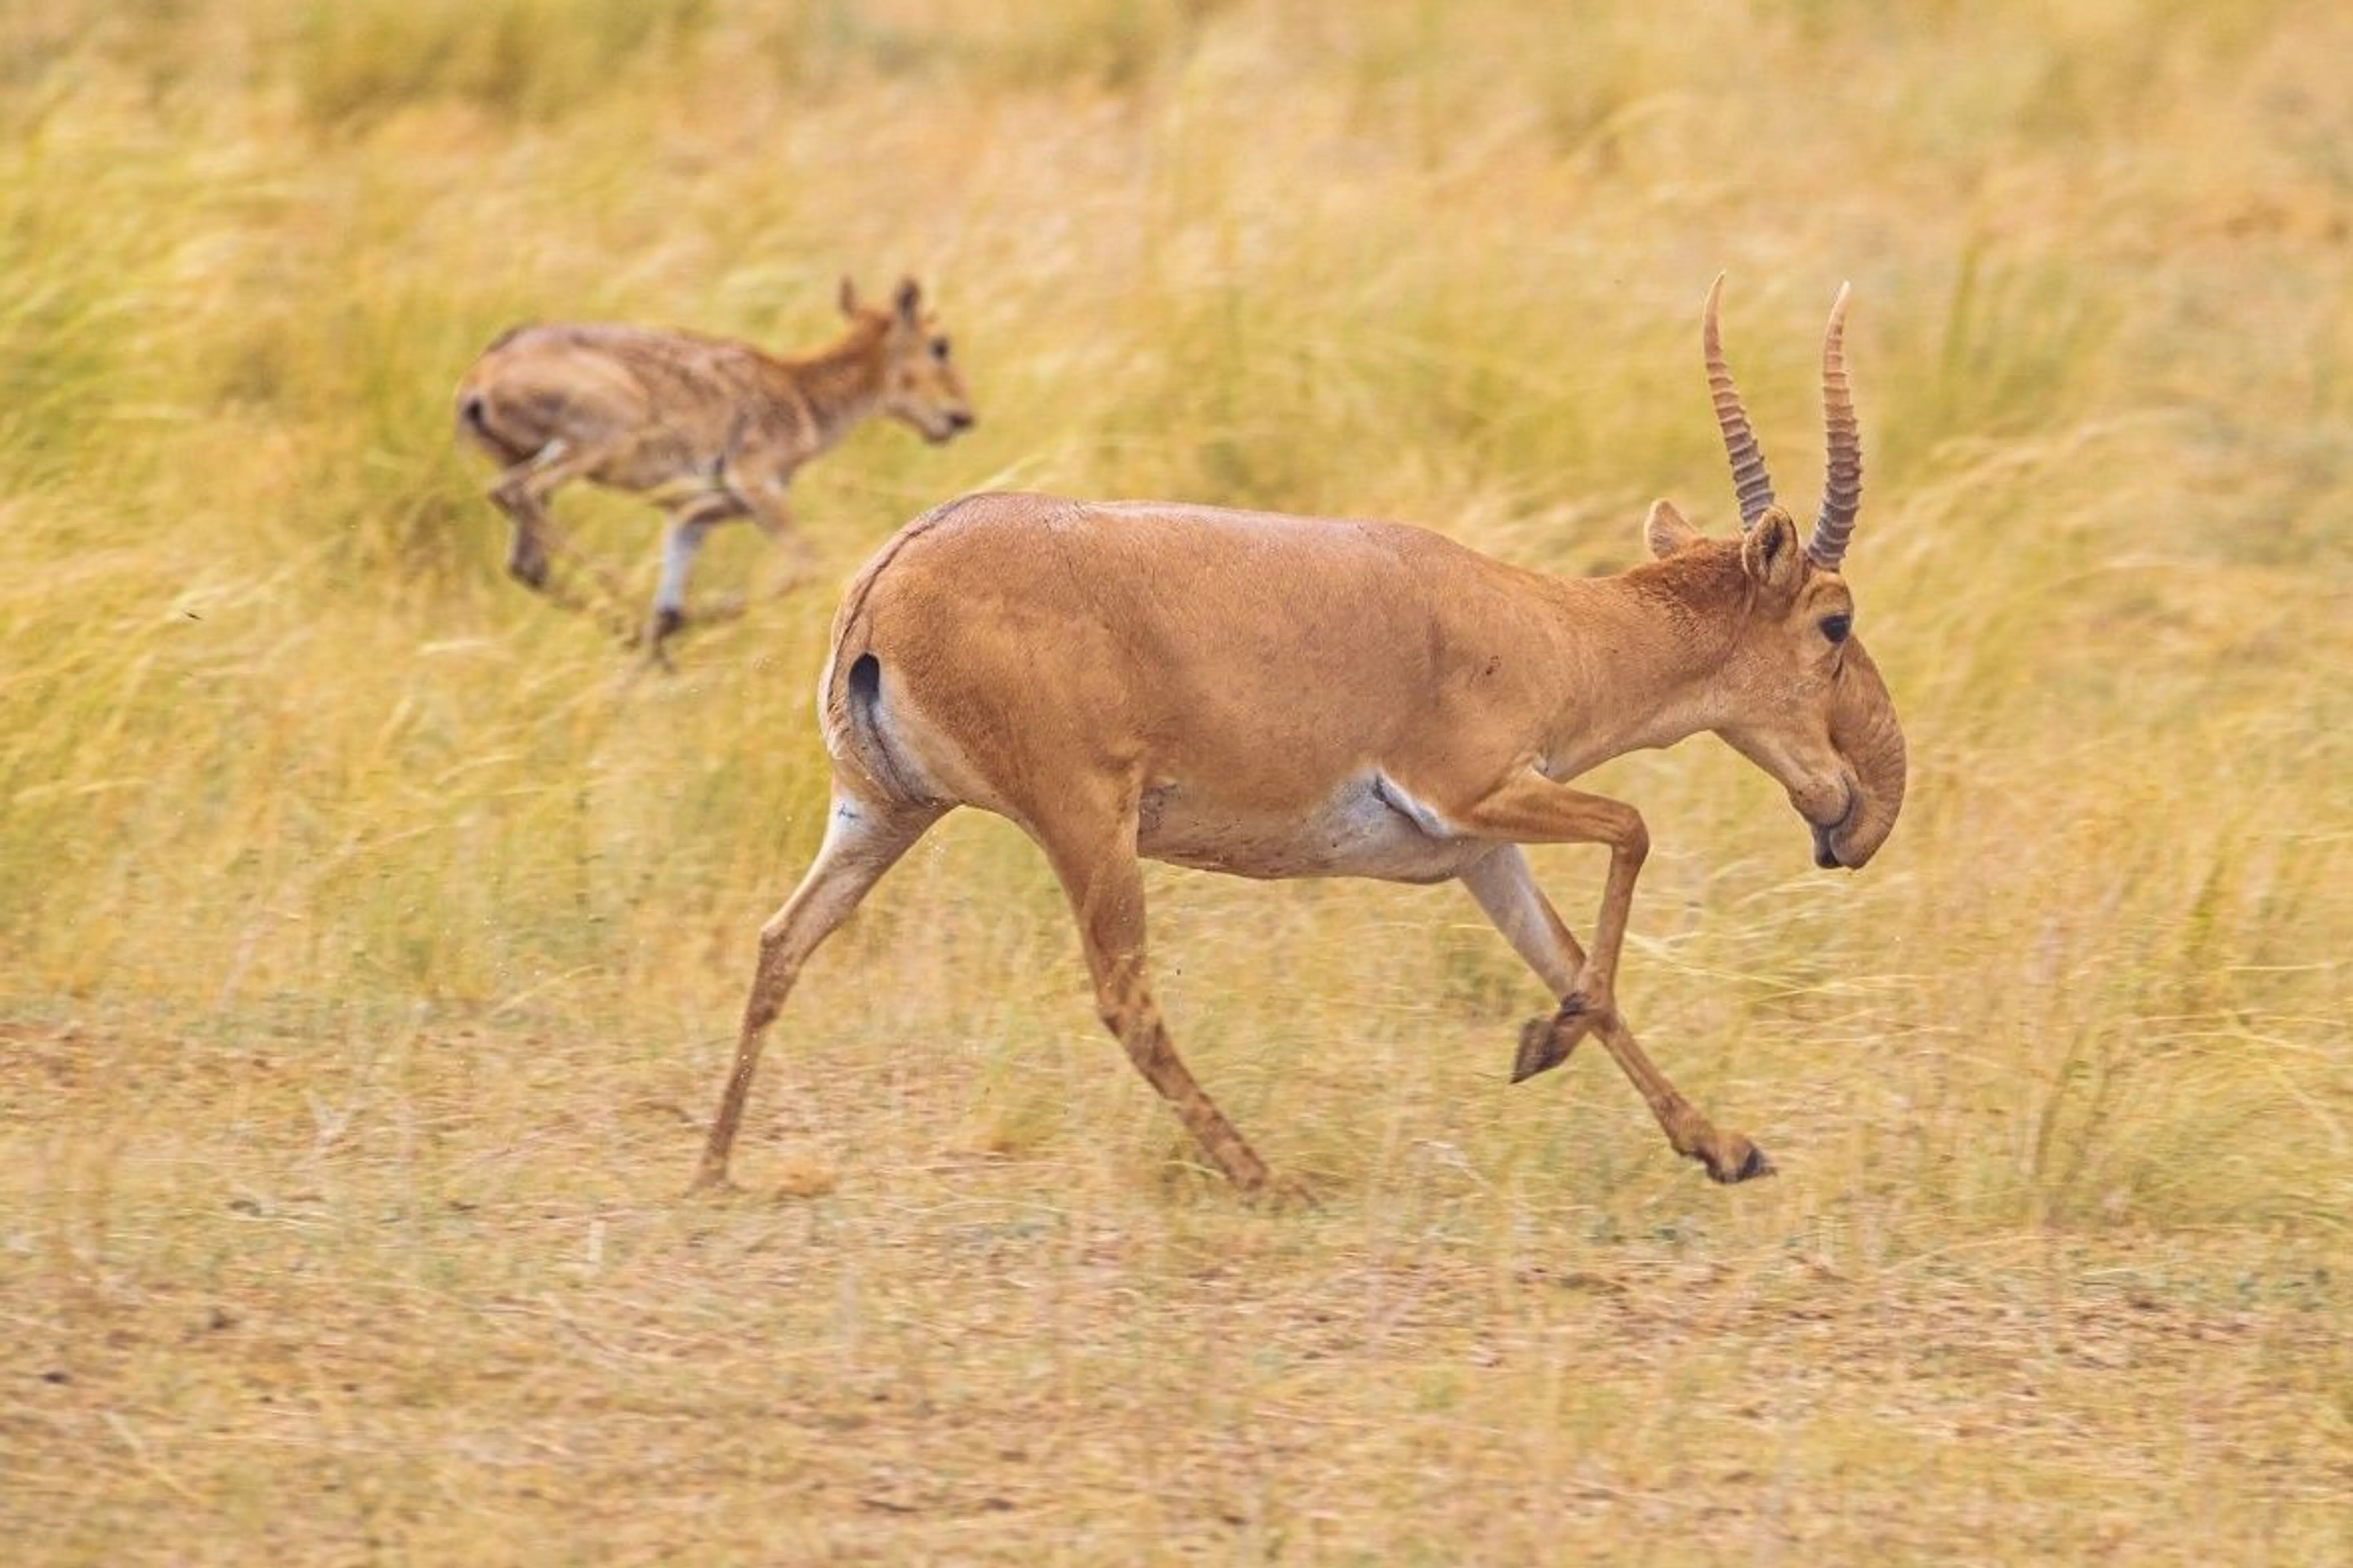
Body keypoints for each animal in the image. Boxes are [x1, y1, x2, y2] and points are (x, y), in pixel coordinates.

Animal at [449, 274, 974, 654]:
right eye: (940, 344)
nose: (963, 416)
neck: (800, 392)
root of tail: (480, 378)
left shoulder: (697, 513)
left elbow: (673, 599)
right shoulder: (757, 488)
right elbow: (807, 565)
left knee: (526, 560)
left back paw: (632, 628)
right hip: (597, 441)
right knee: (518, 493)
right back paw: (626, 597)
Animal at [687, 278, 1901, 1186]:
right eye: (1834, 620)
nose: (1862, 816)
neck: (1539, 622)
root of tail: (890, 576)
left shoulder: (1482, 851)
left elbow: (1563, 952)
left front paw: (1724, 1146)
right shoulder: (1476, 791)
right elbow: (1631, 834)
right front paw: (1540, 1044)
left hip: (883, 811)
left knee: (780, 943)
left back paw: (714, 1167)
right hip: (1087, 827)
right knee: (1125, 999)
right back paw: (1266, 1175)